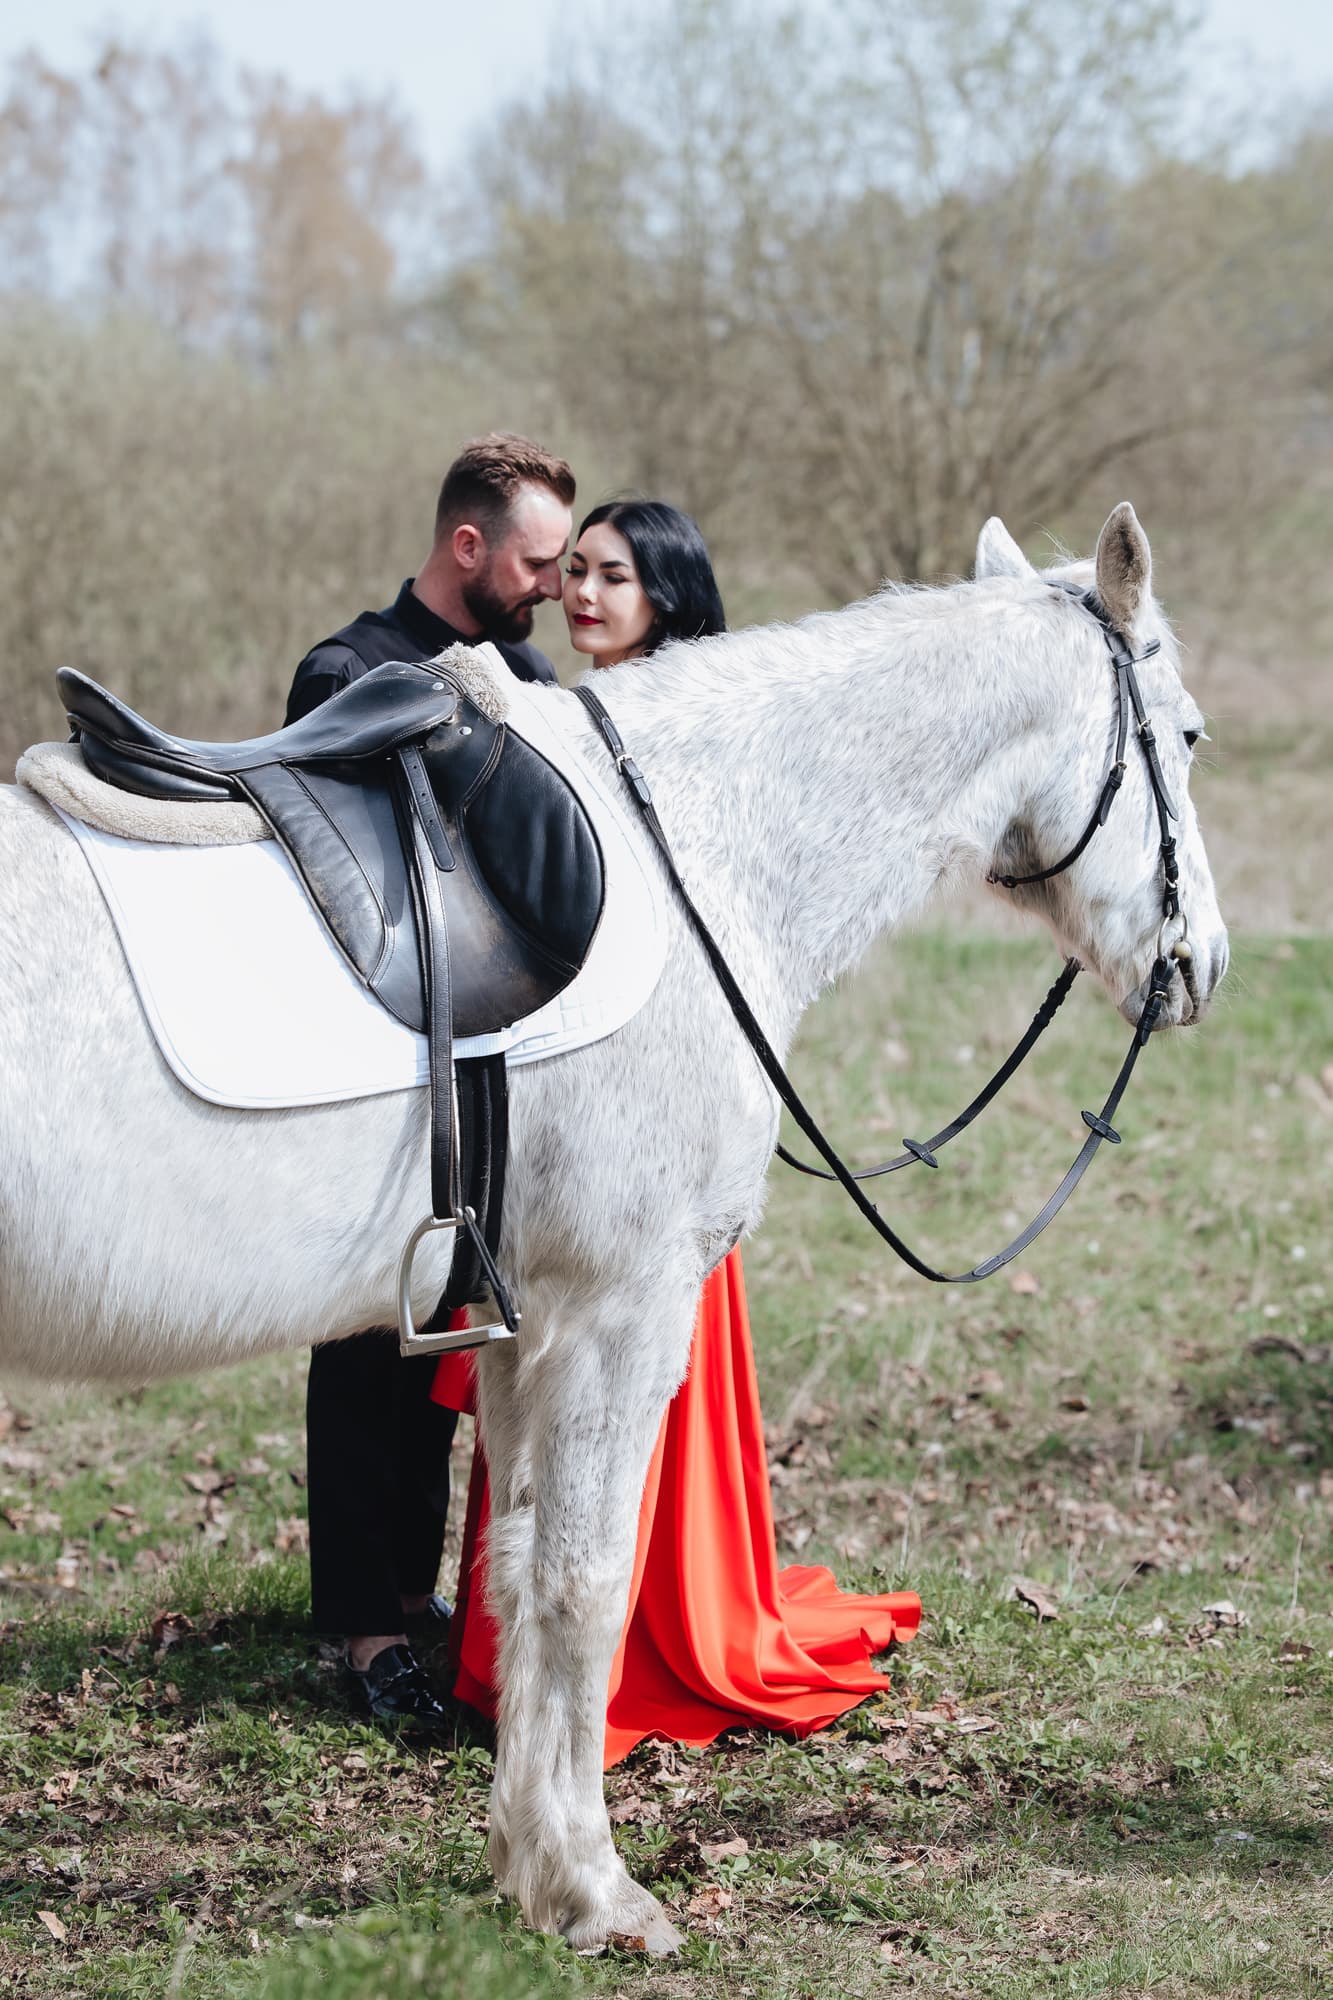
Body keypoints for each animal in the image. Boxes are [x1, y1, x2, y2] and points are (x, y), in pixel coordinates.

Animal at [0, 505, 1227, 1952]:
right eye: (1186, 733)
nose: (1201, 963)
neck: (696, 843)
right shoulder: (618, 1307)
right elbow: (585, 1582)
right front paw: (593, 1887)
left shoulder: (524, 1323)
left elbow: (517, 1572)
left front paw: (526, 1859)